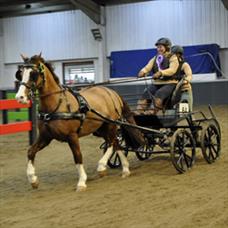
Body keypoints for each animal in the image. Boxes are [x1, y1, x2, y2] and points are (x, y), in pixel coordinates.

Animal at [15, 54, 144, 191]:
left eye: (33, 74)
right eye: (20, 73)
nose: (19, 97)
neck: (57, 104)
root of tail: (111, 92)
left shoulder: (72, 136)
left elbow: (78, 156)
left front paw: (82, 182)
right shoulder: (46, 137)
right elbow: (30, 152)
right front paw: (33, 179)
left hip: (111, 124)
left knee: (111, 143)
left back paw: (102, 166)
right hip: (100, 128)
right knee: (115, 143)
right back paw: (125, 169)